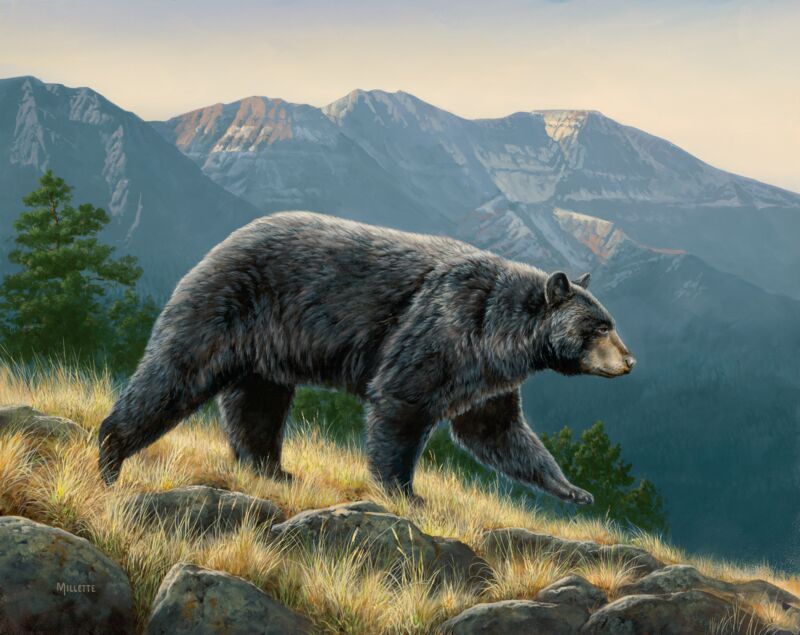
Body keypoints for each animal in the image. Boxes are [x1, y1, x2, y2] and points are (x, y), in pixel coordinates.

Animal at [98, 211, 636, 504]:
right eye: (600, 326)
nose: (630, 362)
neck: (501, 331)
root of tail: (217, 247)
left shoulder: (487, 375)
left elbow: (496, 431)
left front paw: (572, 489)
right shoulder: (443, 327)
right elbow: (402, 399)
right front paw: (405, 491)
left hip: (264, 350)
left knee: (257, 406)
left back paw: (272, 469)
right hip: (222, 308)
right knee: (175, 374)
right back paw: (110, 454)